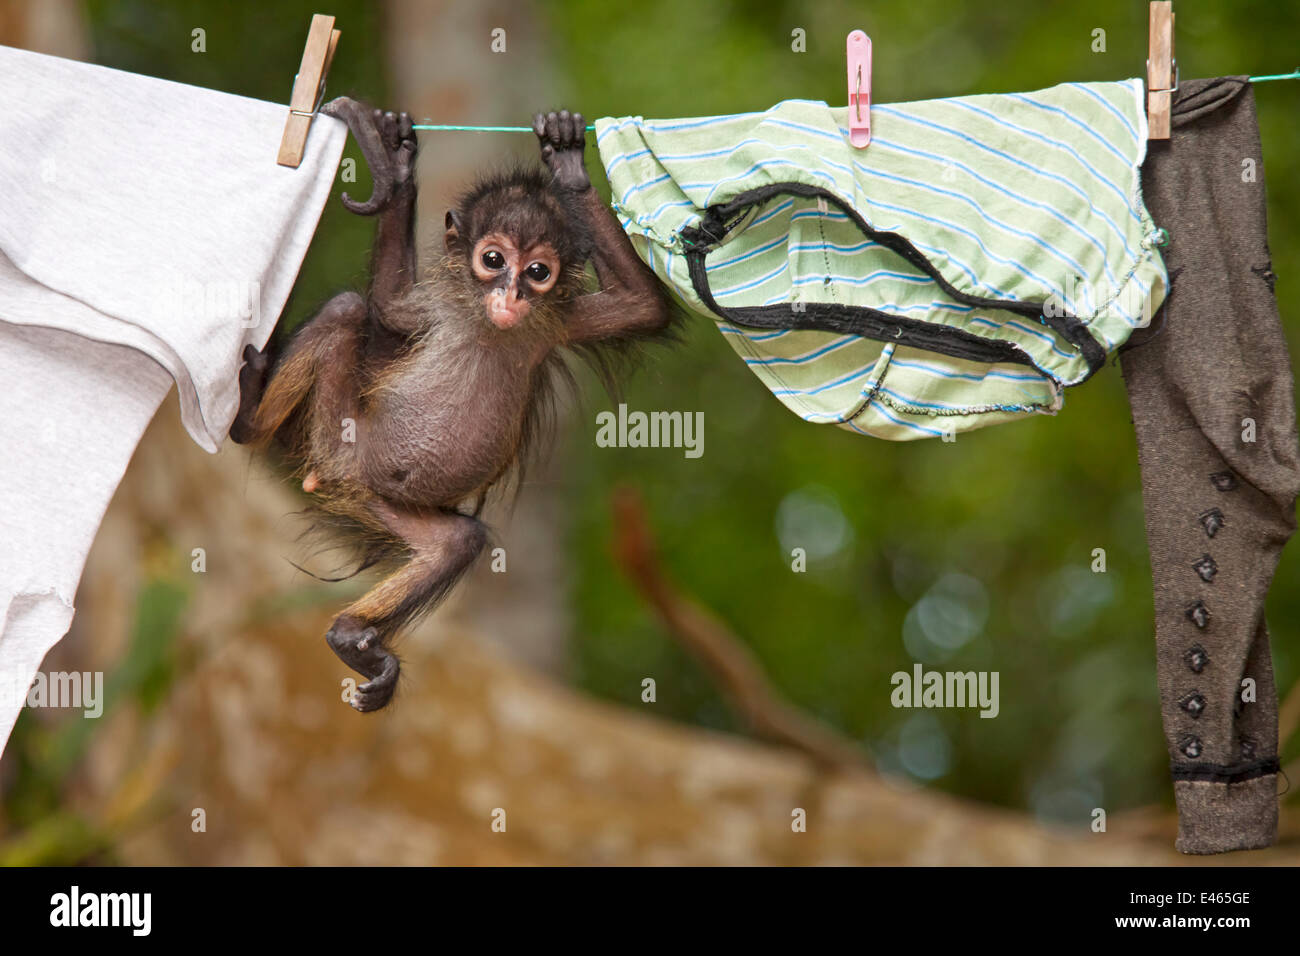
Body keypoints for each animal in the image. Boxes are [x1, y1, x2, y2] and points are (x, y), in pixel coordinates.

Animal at [230, 100, 673, 712]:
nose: (510, 294)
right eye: (493, 259)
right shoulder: (438, 307)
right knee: (347, 308)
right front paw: (396, 170)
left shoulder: (556, 324)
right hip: (339, 436)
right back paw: (249, 422)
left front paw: (568, 165)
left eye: (538, 271)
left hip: (384, 500)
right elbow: (387, 305)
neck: (487, 325)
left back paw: (350, 635)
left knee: (457, 542)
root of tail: (345, 477)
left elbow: (645, 306)